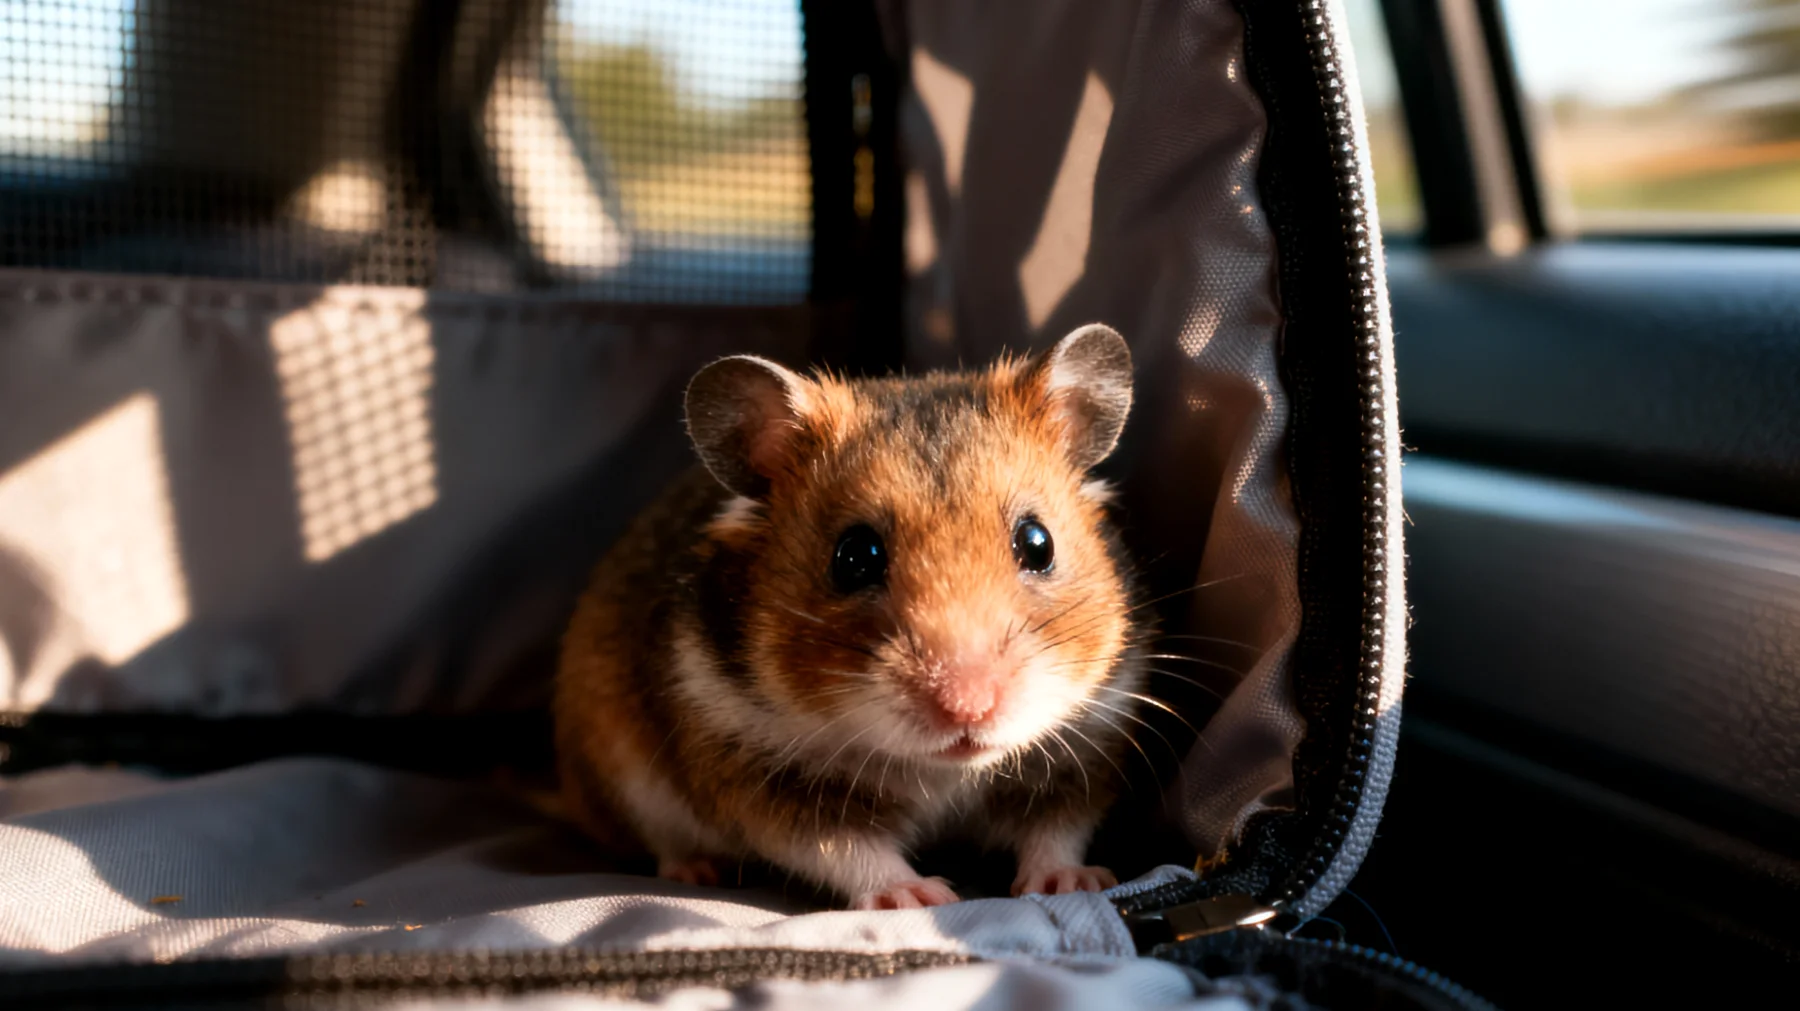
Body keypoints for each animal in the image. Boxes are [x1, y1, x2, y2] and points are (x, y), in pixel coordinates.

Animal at [553, 324, 1147, 910]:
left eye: (1038, 543)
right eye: (855, 557)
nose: (969, 708)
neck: (941, 770)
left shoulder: (1086, 747)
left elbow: (1056, 829)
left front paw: (1077, 883)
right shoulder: (761, 774)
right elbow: (846, 848)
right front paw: (918, 898)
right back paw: (699, 872)